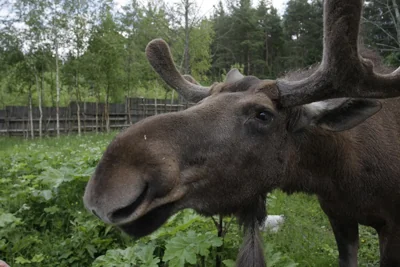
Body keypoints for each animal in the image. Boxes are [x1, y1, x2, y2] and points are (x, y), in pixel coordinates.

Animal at [83, 0, 400, 266]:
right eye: (204, 101)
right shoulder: (339, 216)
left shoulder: (391, 226)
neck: (342, 173)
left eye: (263, 115)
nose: (108, 185)